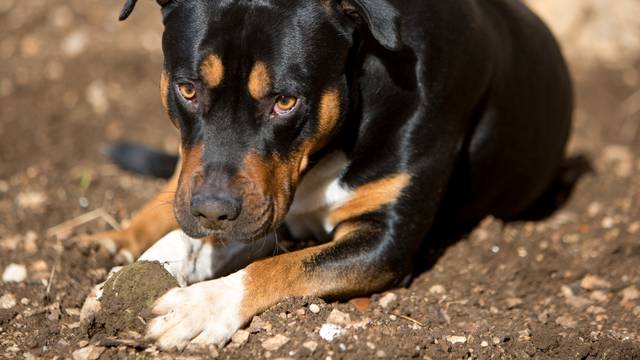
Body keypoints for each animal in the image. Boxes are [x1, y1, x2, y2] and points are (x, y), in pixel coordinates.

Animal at [79, 0, 568, 350]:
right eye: (187, 89)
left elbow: (280, 266)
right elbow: (188, 235)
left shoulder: (383, 241)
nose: (213, 211)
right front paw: (128, 274)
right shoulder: (249, 198)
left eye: (286, 101)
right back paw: (114, 239)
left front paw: (202, 306)